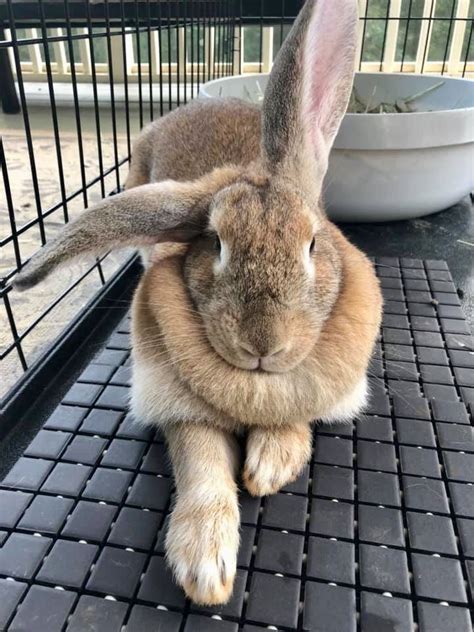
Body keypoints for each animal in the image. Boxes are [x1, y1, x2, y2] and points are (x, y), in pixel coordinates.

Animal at [14, 0, 382, 604]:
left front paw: (270, 466)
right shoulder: (176, 405)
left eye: (312, 242)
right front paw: (205, 565)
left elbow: (296, 420)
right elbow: (200, 459)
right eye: (215, 244)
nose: (263, 344)